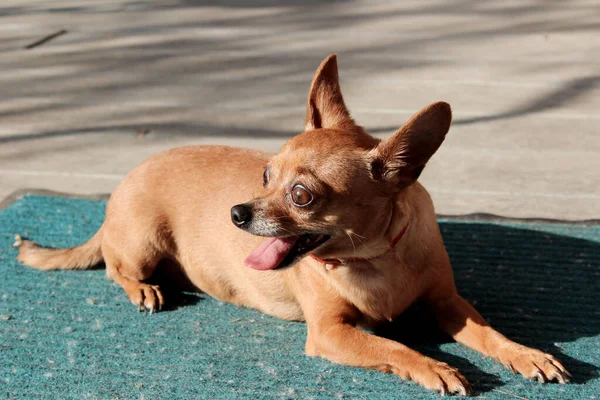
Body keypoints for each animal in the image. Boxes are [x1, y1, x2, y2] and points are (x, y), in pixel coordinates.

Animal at [18, 54, 568, 396]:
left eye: (302, 196)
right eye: (265, 175)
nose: (237, 213)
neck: (375, 259)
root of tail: (121, 185)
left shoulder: (447, 303)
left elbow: (489, 332)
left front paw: (527, 354)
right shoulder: (330, 332)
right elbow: (392, 345)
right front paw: (434, 365)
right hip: (143, 242)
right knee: (116, 269)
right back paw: (143, 290)